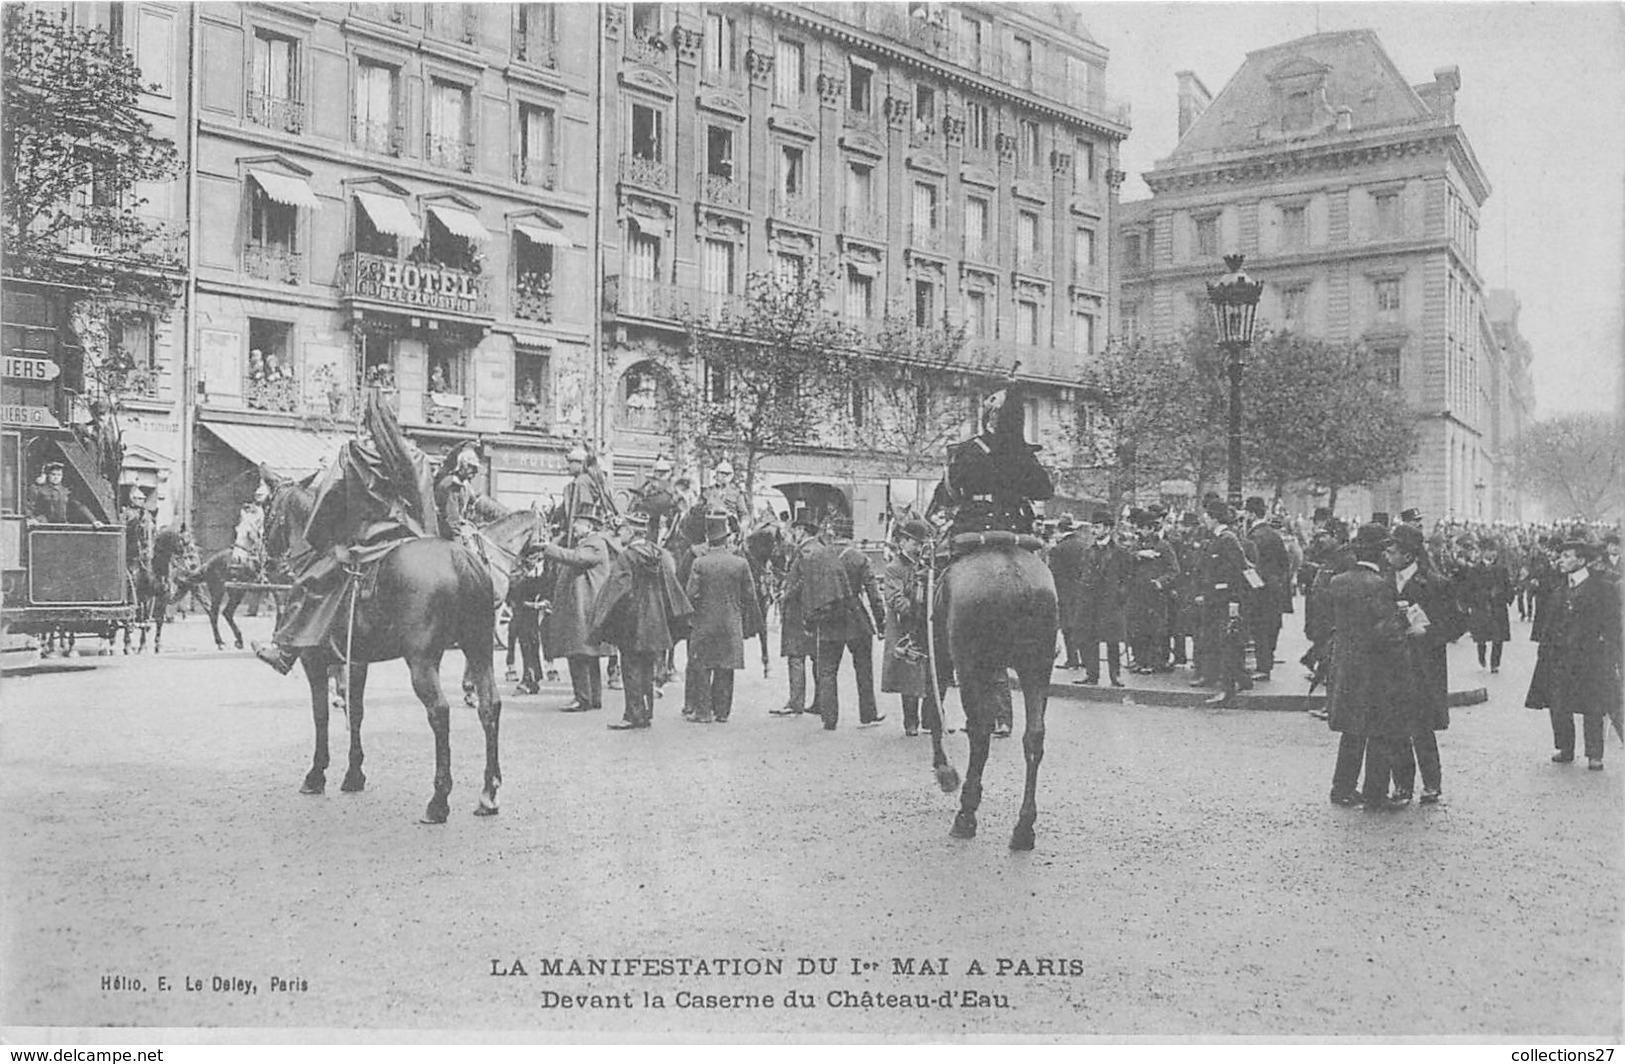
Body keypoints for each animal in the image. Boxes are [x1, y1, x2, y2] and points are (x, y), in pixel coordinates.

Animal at [263, 477, 503, 828]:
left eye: (267, 510)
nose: (267, 564)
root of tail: (459, 558)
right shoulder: (356, 661)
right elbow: (356, 712)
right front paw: (353, 775)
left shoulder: (313, 660)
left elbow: (321, 716)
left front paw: (316, 774)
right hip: (480, 649)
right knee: (490, 706)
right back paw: (488, 793)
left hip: (422, 662)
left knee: (440, 712)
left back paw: (438, 801)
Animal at [929, 545, 1066, 851]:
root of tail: (1017, 581)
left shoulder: (942, 655)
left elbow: (934, 704)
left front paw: (944, 770)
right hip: (1037, 667)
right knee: (1034, 737)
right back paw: (1024, 827)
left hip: (971, 665)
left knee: (980, 734)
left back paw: (966, 815)